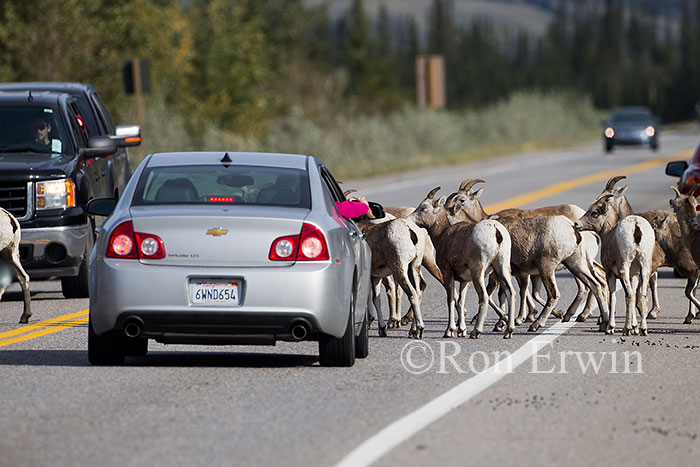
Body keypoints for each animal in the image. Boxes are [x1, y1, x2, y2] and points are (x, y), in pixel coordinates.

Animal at [408, 188, 516, 338]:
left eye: (424, 208)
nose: (408, 220)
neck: (443, 234)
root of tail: (496, 231)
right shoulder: (465, 280)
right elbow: (460, 301)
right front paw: (461, 331)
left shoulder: (448, 273)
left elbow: (451, 300)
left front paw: (449, 331)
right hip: (502, 268)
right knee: (510, 292)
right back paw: (508, 331)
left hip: (479, 273)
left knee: (484, 297)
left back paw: (476, 331)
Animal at [576, 176, 656, 336]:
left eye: (595, 212)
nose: (576, 224)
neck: (608, 234)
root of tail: (636, 226)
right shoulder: (634, 274)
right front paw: (635, 328)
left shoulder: (610, 273)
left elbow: (612, 295)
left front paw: (611, 328)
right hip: (645, 267)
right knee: (642, 295)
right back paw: (643, 329)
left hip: (624, 267)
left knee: (629, 295)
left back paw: (625, 329)